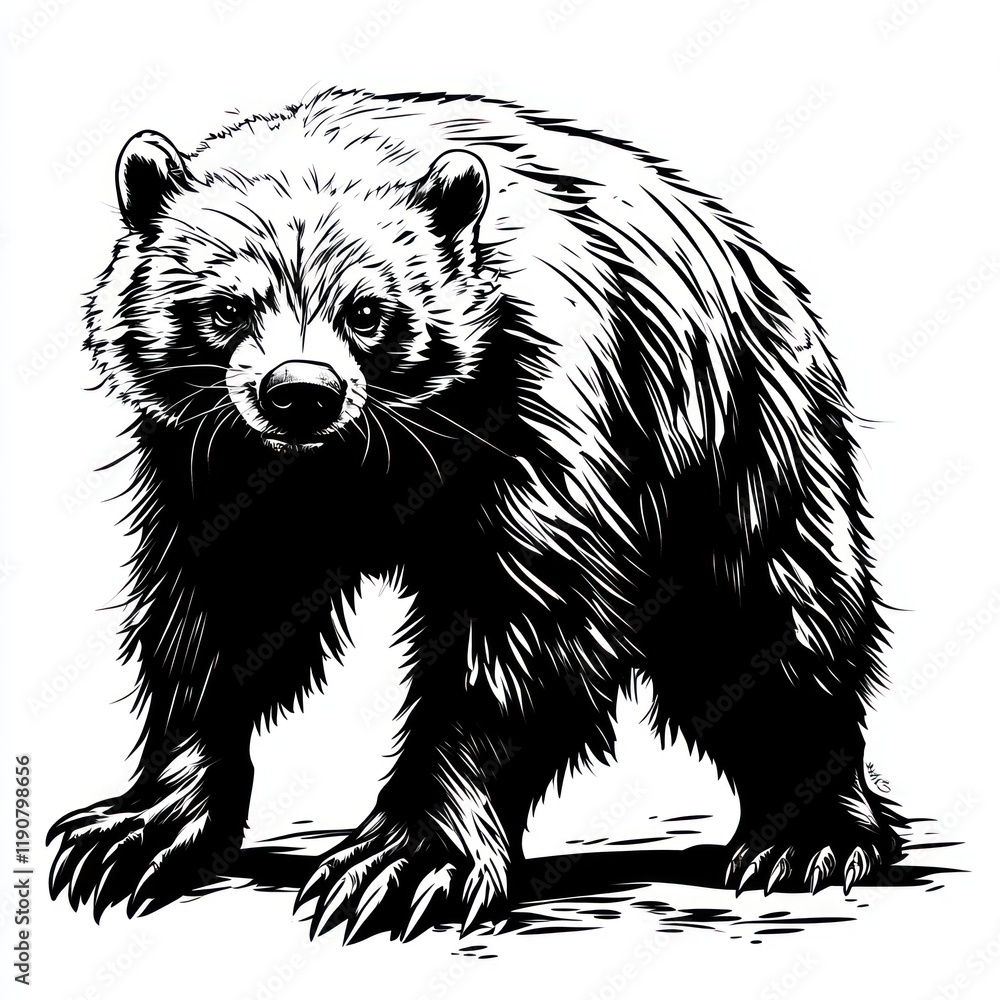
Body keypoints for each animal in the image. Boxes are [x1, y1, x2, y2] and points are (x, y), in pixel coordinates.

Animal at [48, 86, 905, 942]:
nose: (301, 392)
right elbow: (219, 612)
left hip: (739, 448)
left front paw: (404, 860)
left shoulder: (528, 408)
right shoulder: (220, 460)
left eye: (368, 309)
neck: (360, 458)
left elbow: (517, 632)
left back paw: (809, 834)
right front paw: (139, 828)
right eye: (225, 306)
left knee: (771, 626)